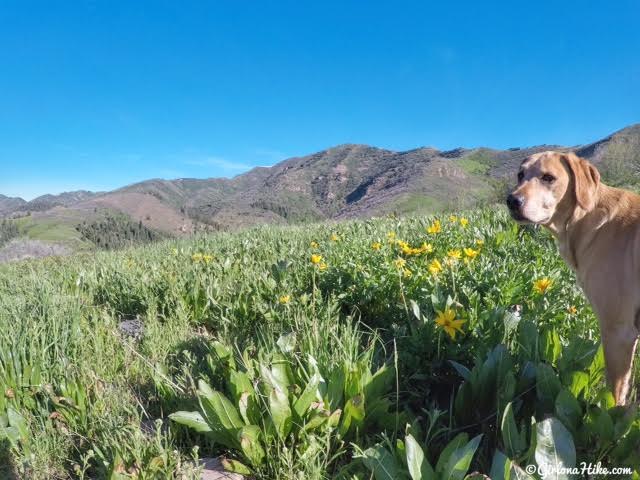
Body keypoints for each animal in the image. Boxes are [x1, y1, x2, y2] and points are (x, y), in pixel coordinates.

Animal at [510, 151, 640, 404]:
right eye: (520, 175)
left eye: (548, 177)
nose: (511, 200)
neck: (584, 218)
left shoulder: (618, 332)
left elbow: (614, 396)